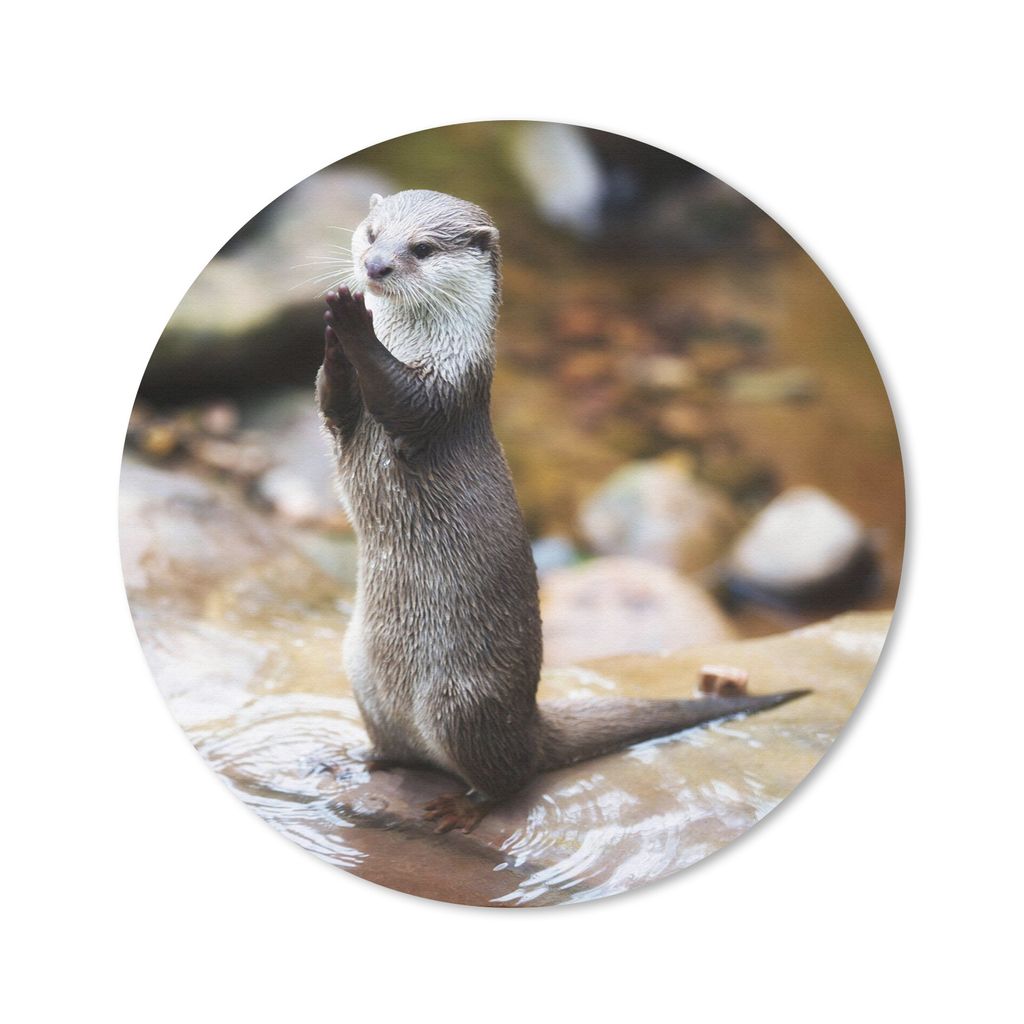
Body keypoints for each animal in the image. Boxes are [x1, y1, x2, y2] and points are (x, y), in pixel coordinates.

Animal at [316, 189, 807, 833]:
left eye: (420, 248)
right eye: (372, 233)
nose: (375, 267)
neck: (425, 345)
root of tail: (530, 720)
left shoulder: (447, 393)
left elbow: (404, 399)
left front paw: (352, 325)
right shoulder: (347, 420)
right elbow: (332, 402)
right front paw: (333, 335)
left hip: (462, 704)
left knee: (510, 777)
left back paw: (460, 809)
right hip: (361, 674)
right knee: (402, 748)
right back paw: (358, 760)